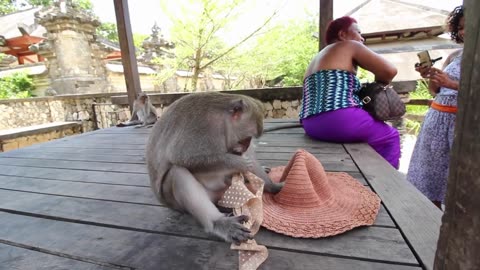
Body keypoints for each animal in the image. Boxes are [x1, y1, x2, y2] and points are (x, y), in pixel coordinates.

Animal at [144, 92, 284, 244]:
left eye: (249, 140)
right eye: (246, 139)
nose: (245, 147)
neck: (223, 121)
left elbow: (250, 157)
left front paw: (273, 186)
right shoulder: (203, 128)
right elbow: (181, 157)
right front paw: (239, 163)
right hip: (177, 201)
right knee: (177, 172)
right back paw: (219, 223)